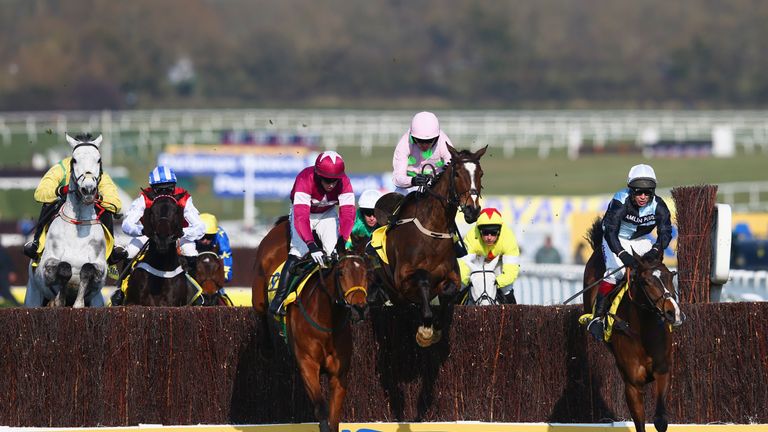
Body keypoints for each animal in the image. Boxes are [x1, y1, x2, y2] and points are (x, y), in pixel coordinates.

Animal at [374, 145, 486, 348]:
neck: (433, 231)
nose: (472, 210)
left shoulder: (453, 277)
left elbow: (448, 293)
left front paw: (436, 326)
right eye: (457, 173)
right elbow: (423, 279)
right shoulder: (403, 277)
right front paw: (425, 331)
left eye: (480, 173)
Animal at [584, 219, 688, 432]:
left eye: (670, 276)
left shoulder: (663, 370)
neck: (642, 332)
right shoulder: (632, 384)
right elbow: (640, 423)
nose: (672, 312)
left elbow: (660, 419)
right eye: (646, 281)